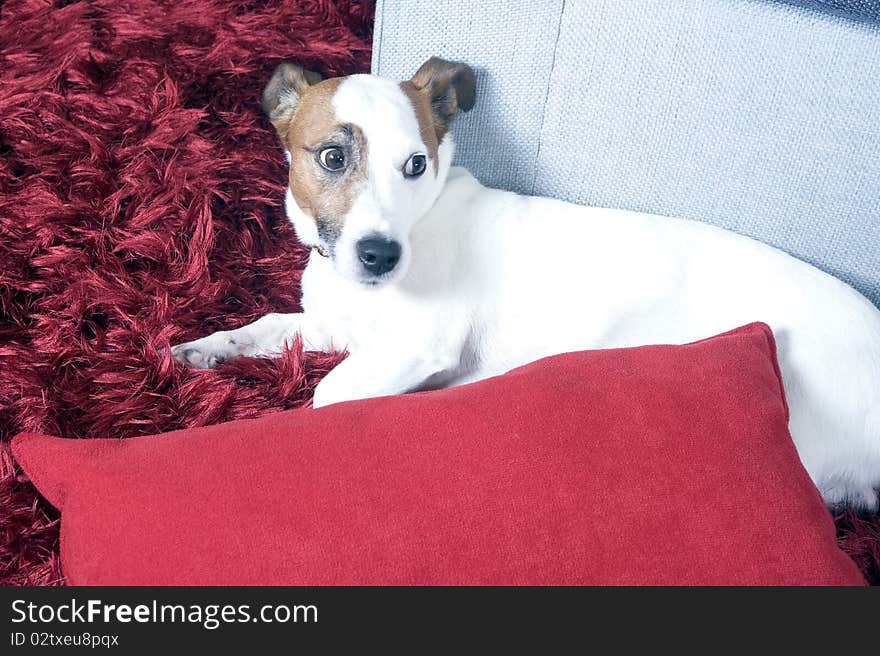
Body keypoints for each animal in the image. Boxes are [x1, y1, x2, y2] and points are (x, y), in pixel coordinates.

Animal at [172, 57, 880, 508]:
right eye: (332, 156)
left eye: (416, 164)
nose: (379, 256)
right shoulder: (337, 326)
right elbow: (263, 328)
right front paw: (200, 349)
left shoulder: (413, 346)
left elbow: (328, 395)